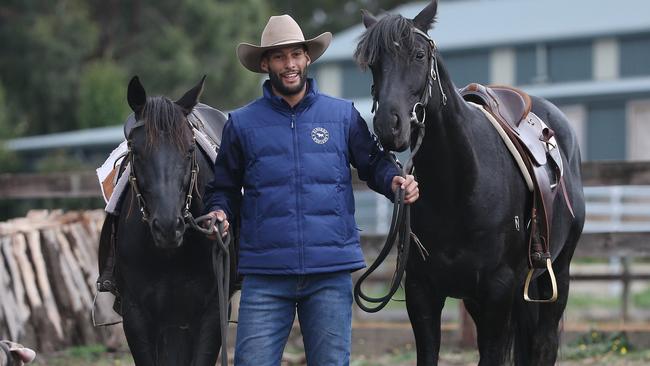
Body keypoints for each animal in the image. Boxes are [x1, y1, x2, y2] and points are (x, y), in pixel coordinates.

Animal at [356, 1, 584, 364]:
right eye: (374, 63)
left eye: (419, 55)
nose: (388, 126)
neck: (459, 185)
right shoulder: (422, 291)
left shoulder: (498, 290)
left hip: (556, 274)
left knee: (544, 344)